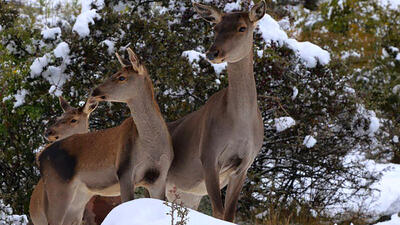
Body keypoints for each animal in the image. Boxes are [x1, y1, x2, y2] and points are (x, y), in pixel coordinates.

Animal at [38, 48, 173, 224]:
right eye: (115, 72)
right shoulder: (124, 170)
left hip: (78, 197)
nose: (95, 91)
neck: (152, 146)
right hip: (57, 188)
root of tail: (40, 157)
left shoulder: (159, 177)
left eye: (121, 77)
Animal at [164, 1, 268, 221]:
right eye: (215, 28)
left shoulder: (244, 164)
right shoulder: (209, 154)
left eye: (242, 28)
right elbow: (218, 212)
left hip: (185, 194)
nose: (212, 53)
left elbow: (228, 215)